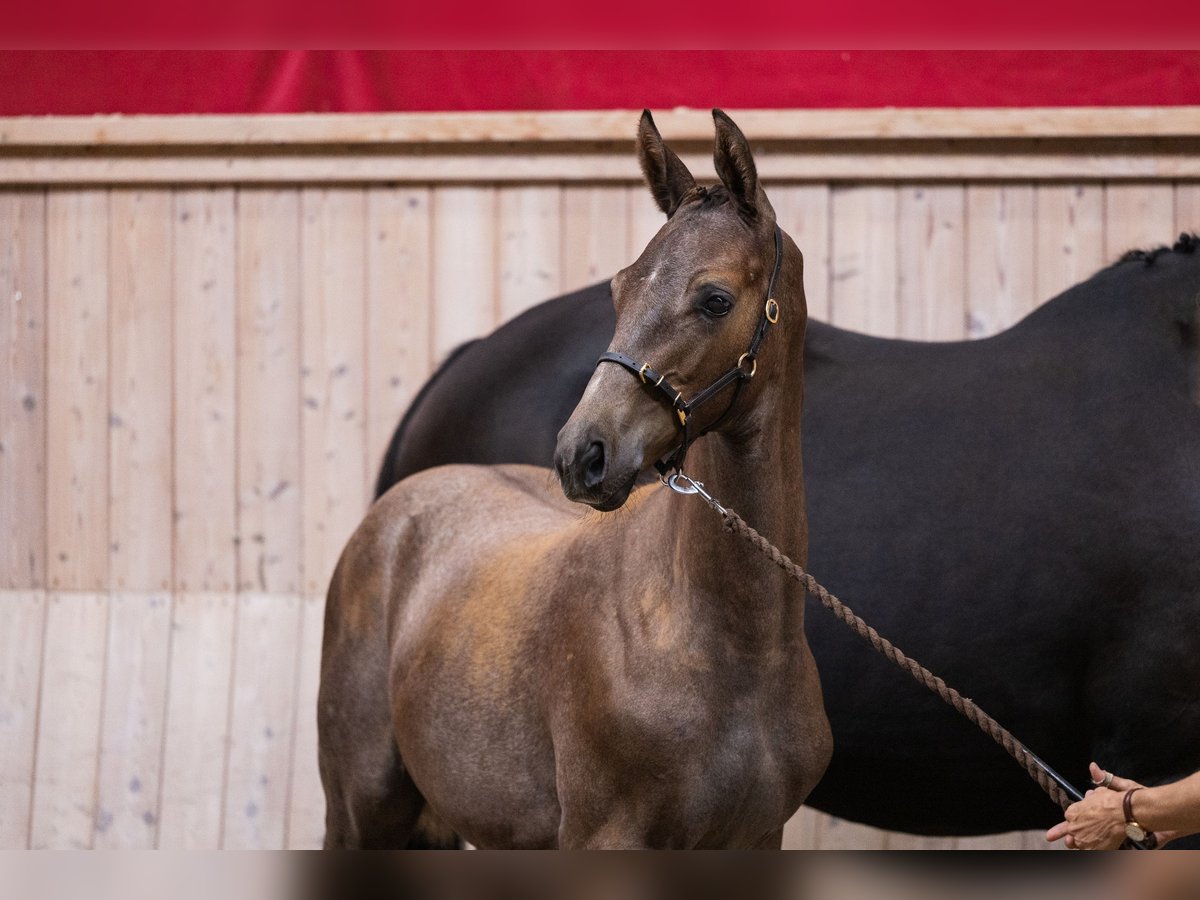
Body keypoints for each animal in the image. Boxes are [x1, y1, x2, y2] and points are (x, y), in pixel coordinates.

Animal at [324, 109, 840, 849]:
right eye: (620, 288)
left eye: (715, 299)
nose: (583, 454)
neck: (732, 648)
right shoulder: (603, 834)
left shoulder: (757, 837)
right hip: (359, 813)